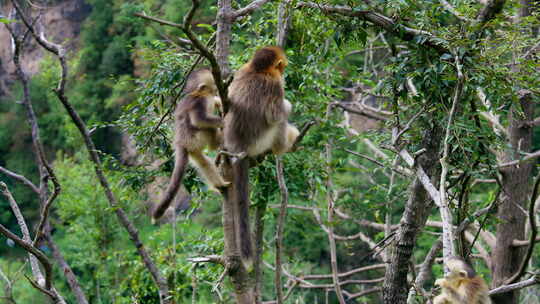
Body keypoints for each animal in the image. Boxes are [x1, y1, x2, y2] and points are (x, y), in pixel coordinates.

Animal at [151, 69, 229, 221]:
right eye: (213, 85)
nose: (216, 89)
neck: (197, 93)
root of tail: (180, 143)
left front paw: (218, 102)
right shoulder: (200, 102)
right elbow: (198, 119)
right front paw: (224, 121)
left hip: (193, 148)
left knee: (204, 163)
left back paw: (220, 185)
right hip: (196, 138)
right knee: (208, 128)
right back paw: (217, 143)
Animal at [223, 46, 300, 260]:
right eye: (281, 68)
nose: (284, 73)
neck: (257, 69)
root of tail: (239, 146)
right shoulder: (274, 84)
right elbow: (276, 114)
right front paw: (288, 105)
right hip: (261, 140)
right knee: (278, 121)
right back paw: (284, 145)